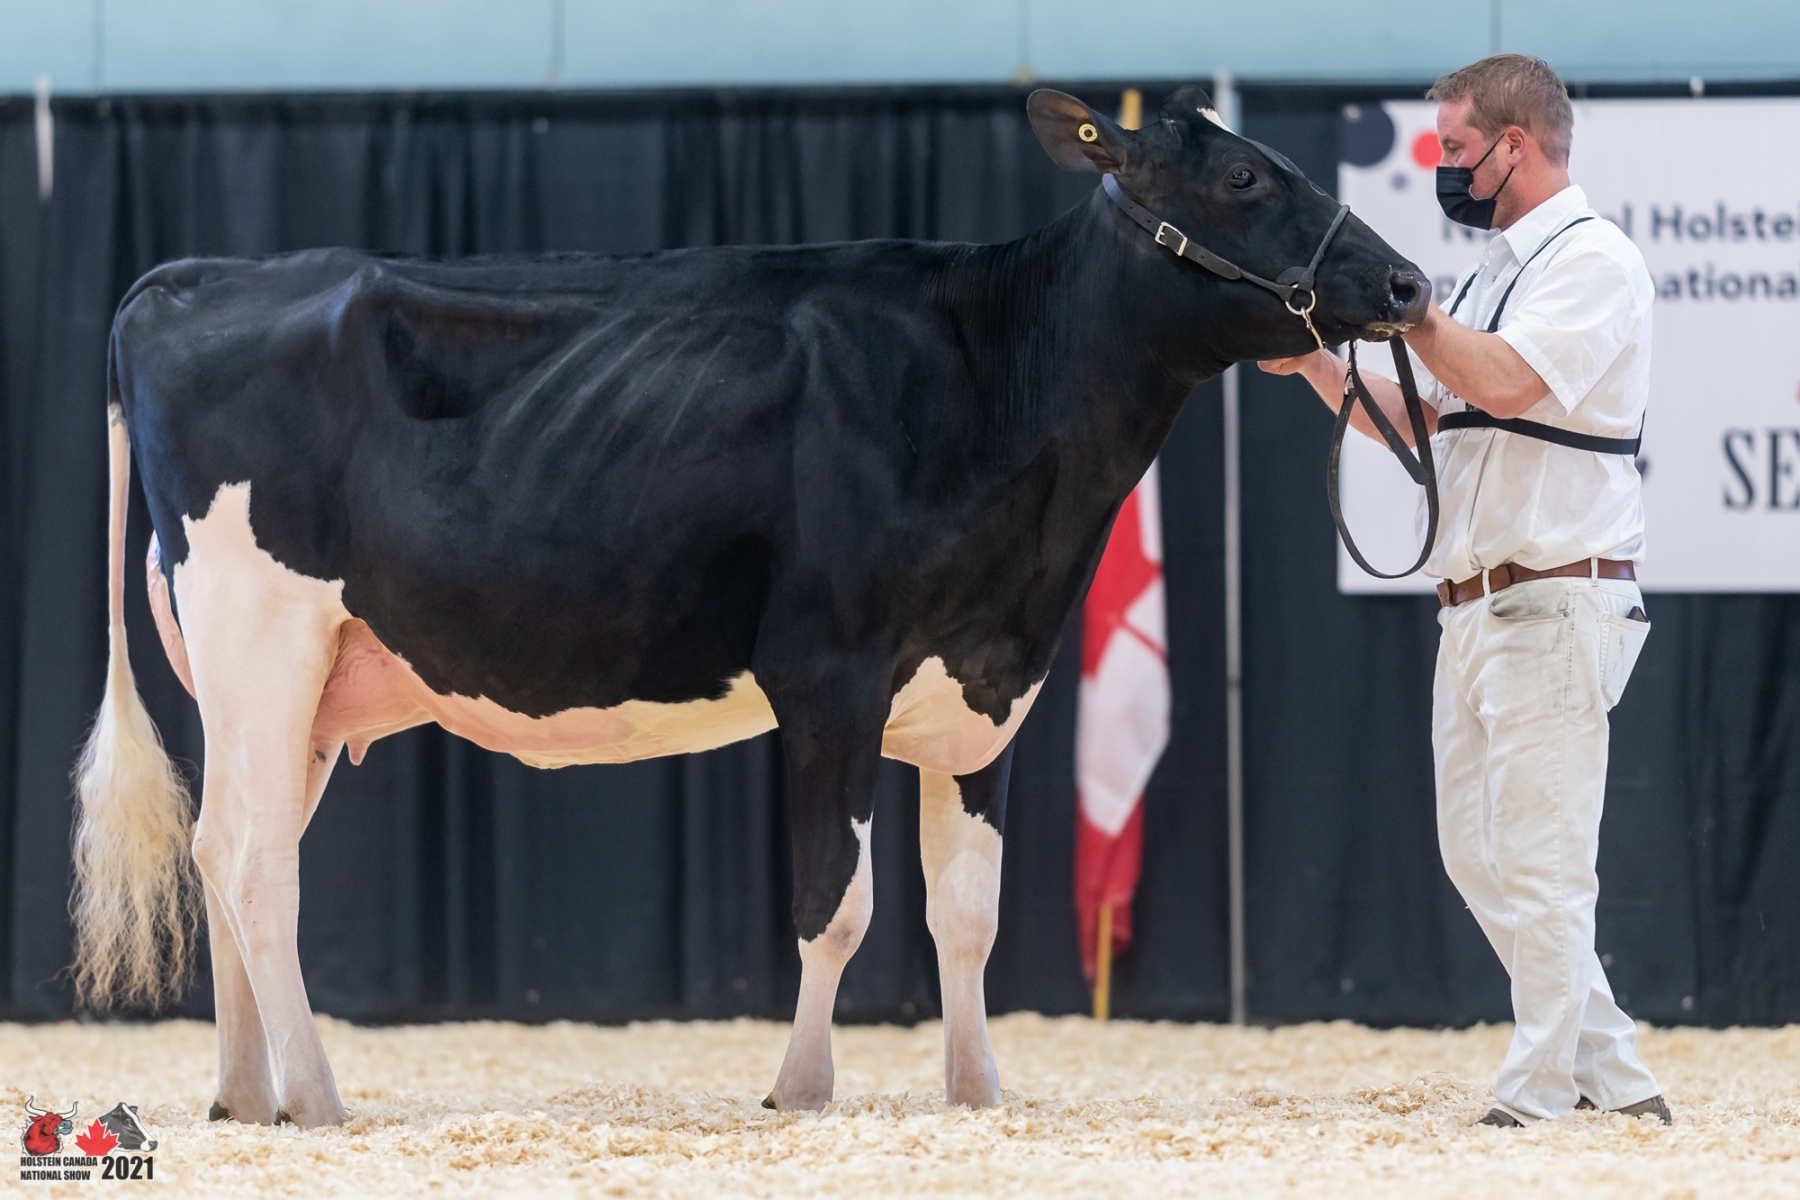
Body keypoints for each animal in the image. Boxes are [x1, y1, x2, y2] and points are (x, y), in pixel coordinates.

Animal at [69, 85, 1428, 1128]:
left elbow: (967, 913)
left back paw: (246, 1094)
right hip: (264, 633)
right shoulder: (831, 672)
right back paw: (314, 1096)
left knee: (224, 850)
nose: (1409, 281)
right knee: (254, 863)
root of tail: (194, 278)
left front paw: (977, 1092)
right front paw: (803, 1090)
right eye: (1244, 176)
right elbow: (839, 903)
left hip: (300, 680)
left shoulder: (985, 689)